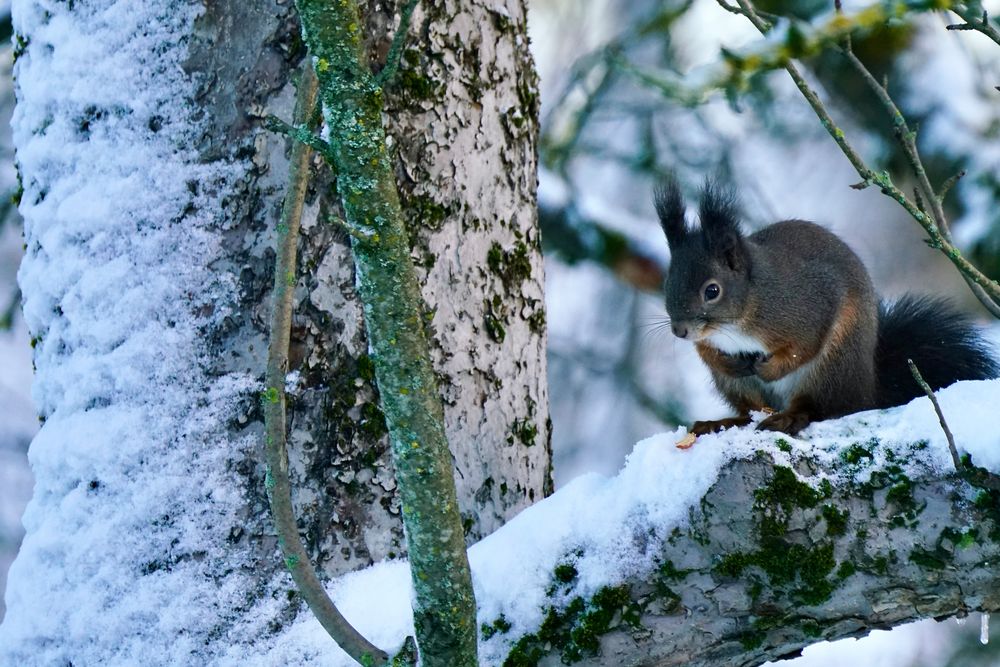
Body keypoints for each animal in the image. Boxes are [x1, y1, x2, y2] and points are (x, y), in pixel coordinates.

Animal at [652, 179, 996, 438]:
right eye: (668, 281)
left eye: (712, 291)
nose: (679, 331)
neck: (742, 315)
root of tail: (866, 390)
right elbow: (706, 351)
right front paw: (728, 361)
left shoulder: (811, 304)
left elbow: (803, 347)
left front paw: (769, 368)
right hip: (740, 388)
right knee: (749, 410)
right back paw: (722, 422)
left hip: (832, 367)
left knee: (817, 407)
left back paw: (789, 417)